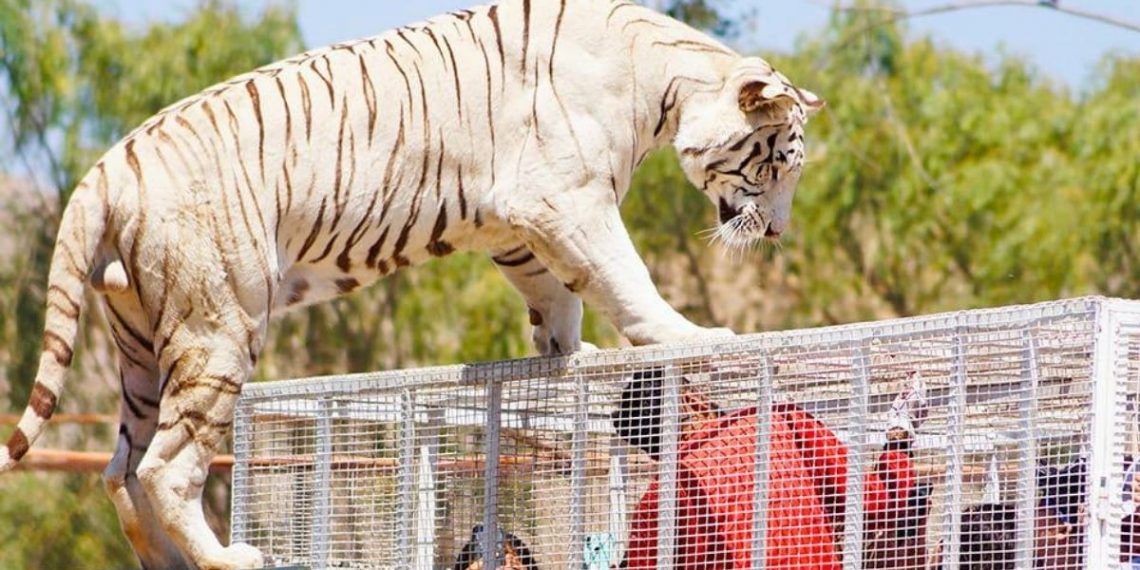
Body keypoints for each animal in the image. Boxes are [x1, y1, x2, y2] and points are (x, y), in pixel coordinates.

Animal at [0, 0, 822, 568]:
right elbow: (623, 276)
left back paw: (170, 562)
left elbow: (558, 298)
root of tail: (105, 167)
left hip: (140, 345)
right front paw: (691, 335)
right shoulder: (565, 197)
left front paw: (568, 358)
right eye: (778, 162)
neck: (664, 84)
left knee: (122, 473)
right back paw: (232, 558)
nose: (781, 232)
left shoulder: (515, 228)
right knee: (168, 468)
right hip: (218, 325)